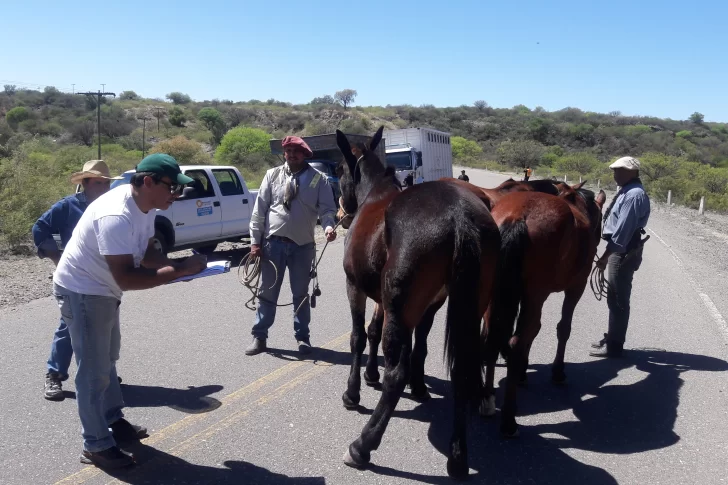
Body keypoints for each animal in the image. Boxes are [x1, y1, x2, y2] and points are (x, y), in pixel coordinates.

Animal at [334, 126, 500, 478]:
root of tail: (461, 216)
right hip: (464, 306)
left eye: (339, 169)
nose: (342, 208)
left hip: (400, 306)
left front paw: (354, 391)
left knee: (396, 373)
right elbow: (408, 343)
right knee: (462, 369)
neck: (374, 194)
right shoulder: (423, 306)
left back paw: (363, 445)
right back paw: (457, 455)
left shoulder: (356, 287)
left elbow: (359, 337)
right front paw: (412, 385)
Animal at [480, 180, 604, 436]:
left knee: (491, 336)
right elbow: (562, 328)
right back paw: (509, 421)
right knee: (515, 340)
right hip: (536, 294)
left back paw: (487, 399)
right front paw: (557, 372)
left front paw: (522, 372)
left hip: (495, 293)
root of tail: (516, 215)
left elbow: (532, 331)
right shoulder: (575, 287)